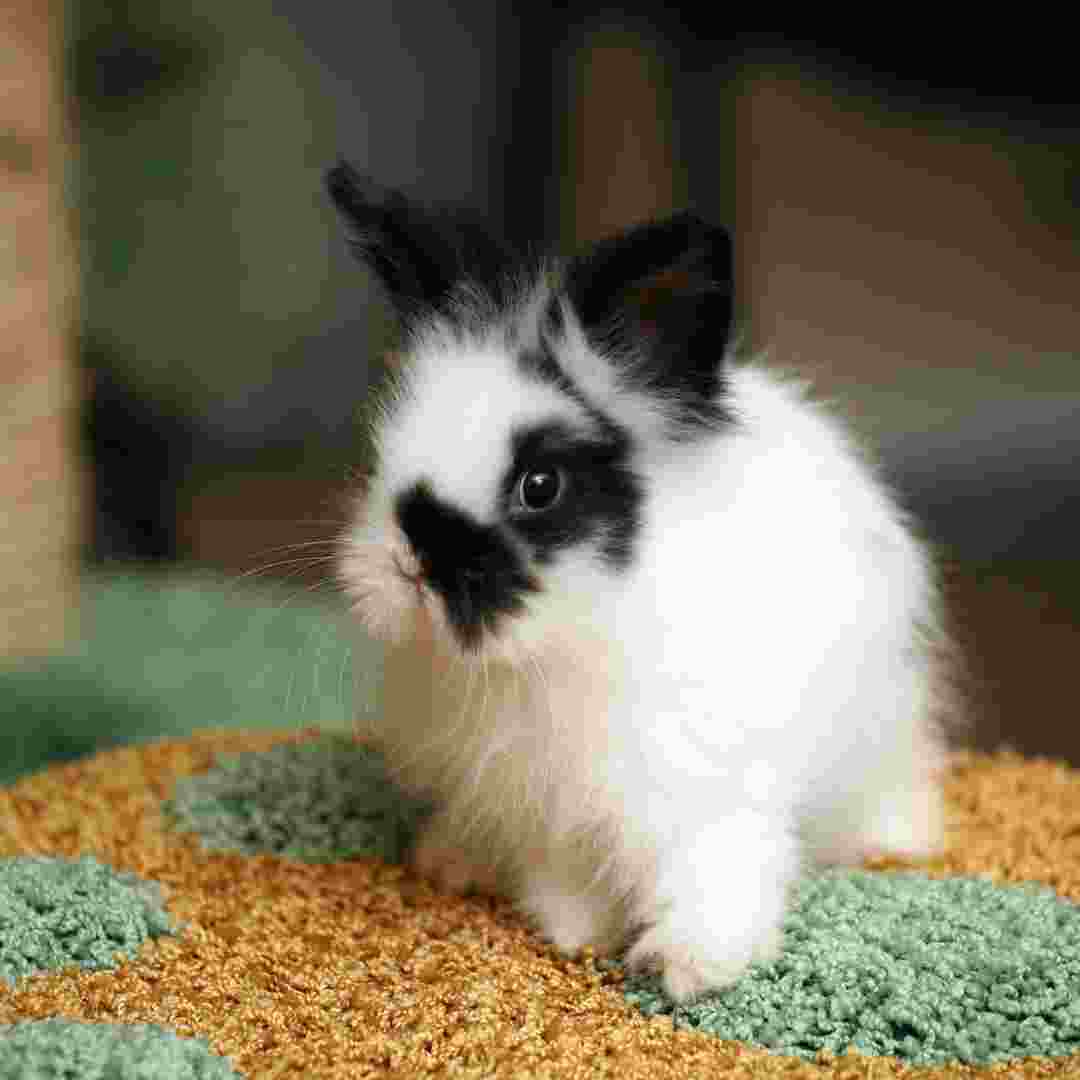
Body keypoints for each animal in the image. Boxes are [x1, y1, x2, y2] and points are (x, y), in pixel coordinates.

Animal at [328, 162, 953, 1002]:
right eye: (381, 455)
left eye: (540, 486)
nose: (412, 564)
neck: (569, 640)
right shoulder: (544, 805)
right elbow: (563, 877)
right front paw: (574, 932)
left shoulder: (711, 790)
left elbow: (718, 871)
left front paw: (692, 967)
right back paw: (450, 857)